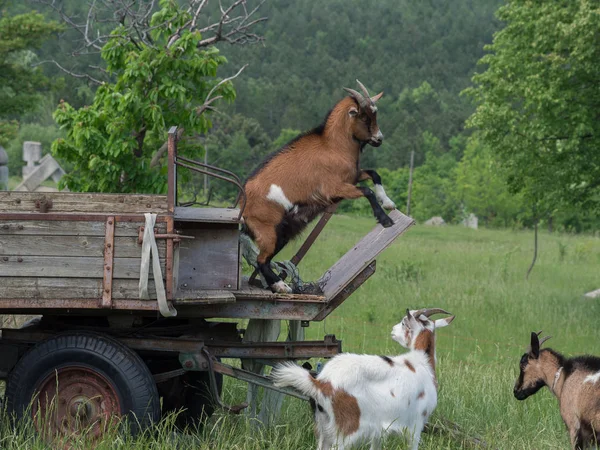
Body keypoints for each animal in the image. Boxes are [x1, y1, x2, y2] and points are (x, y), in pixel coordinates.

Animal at [241, 79, 396, 294]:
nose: (379, 138)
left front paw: (388, 203)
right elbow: (367, 191)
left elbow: (375, 174)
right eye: (364, 116)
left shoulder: (353, 177)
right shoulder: (334, 188)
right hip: (267, 231)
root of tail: (241, 207)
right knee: (261, 259)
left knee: (263, 259)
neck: (333, 146)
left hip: (281, 233)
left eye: (375, 114)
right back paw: (282, 286)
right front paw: (385, 219)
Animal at [274, 308, 454, 448]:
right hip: (348, 428)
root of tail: (322, 383)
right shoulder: (415, 424)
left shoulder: (379, 431)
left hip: (323, 426)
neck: (422, 362)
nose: (393, 330)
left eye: (403, 323)